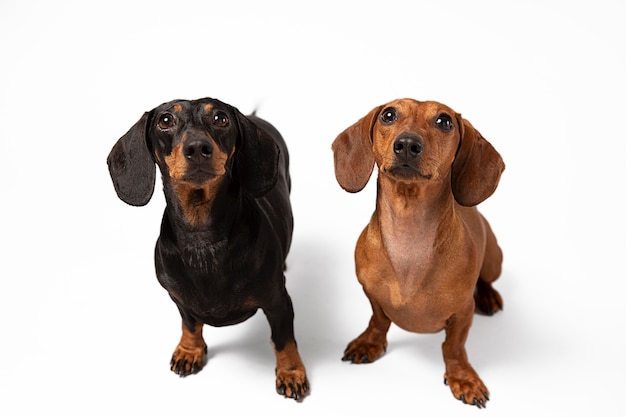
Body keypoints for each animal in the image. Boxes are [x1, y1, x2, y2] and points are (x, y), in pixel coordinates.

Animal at [109, 97, 310, 400]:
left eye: (220, 118)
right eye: (165, 120)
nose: (197, 148)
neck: (202, 239)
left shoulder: (278, 302)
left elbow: (283, 340)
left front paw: (291, 373)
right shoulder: (178, 298)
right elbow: (190, 324)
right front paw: (189, 351)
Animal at [332, 96, 502, 406]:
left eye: (444, 121)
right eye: (388, 115)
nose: (408, 144)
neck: (408, 241)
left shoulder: (463, 312)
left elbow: (453, 347)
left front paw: (463, 378)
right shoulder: (372, 293)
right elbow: (378, 319)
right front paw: (370, 343)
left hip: (494, 260)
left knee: (487, 279)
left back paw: (488, 295)